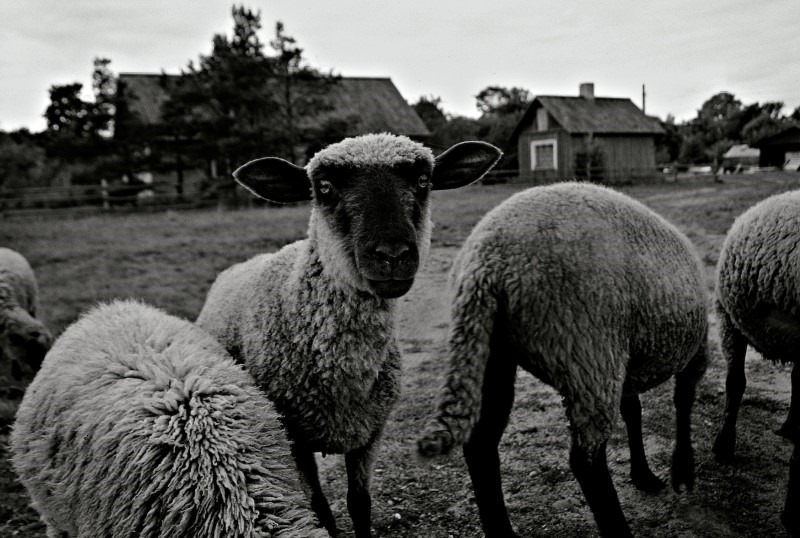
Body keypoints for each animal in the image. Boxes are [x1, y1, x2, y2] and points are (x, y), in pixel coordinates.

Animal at [196, 133, 502, 537]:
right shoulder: (294, 439)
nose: (392, 254)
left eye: (424, 181)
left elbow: (360, 504)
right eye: (324, 187)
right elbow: (319, 507)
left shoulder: (370, 433)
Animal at [417, 182, 708, 538]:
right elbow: (683, 402)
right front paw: (681, 469)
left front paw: (643, 475)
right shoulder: (694, 352)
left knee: (480, 446)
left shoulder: (628, 365)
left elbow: (634, 411)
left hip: (490, 349)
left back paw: (504, 534)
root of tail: (486, 263)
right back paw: (617, 529)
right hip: (588, 350)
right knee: (586, 461)